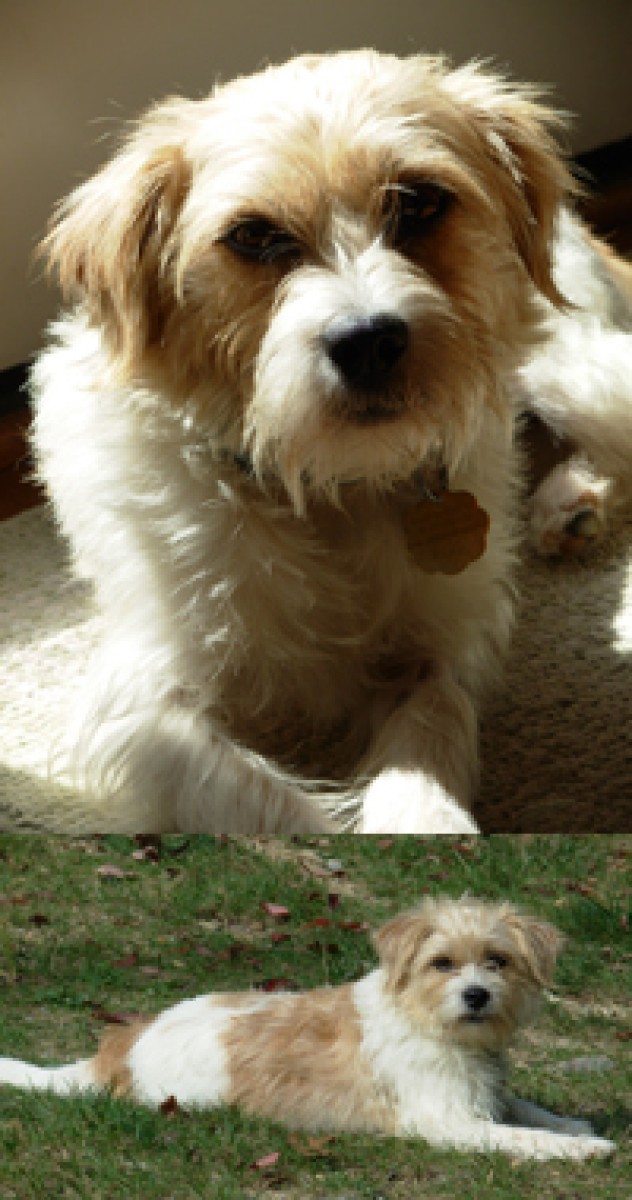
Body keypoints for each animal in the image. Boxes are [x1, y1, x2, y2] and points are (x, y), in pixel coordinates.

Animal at [0, 896, 615, 1160]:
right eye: (441, 963)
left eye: (498, 961)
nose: (477, 995)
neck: (425, 1017)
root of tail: (120, 1047)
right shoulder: (444, 1121)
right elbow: (520, 1136)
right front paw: (582, 1149)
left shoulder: (480, 1093)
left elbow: (523, 1108)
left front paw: (571, 1123)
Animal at [26, 50, 632, 833]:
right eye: (254, 236)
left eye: (420, 201)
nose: (368, 342)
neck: (322, 485)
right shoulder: (141, 706)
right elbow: (271, 805)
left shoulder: (441, 648)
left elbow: (429, 737)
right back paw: (568, 503)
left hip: (562, 365)